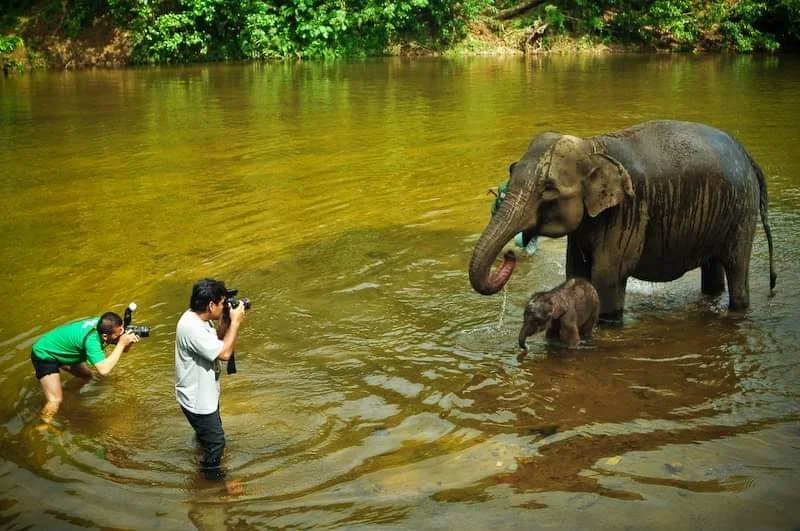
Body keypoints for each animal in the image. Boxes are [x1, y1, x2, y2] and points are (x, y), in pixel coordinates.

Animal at [469, 120, 776, 320]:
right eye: (512, 170)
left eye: (548, 189)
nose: (509, 255)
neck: (592, 146)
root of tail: (747, 154)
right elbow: (576, 271)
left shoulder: (627, 210)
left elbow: (607, 275)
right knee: (713, 268)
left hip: (741, 212)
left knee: (736, 267)